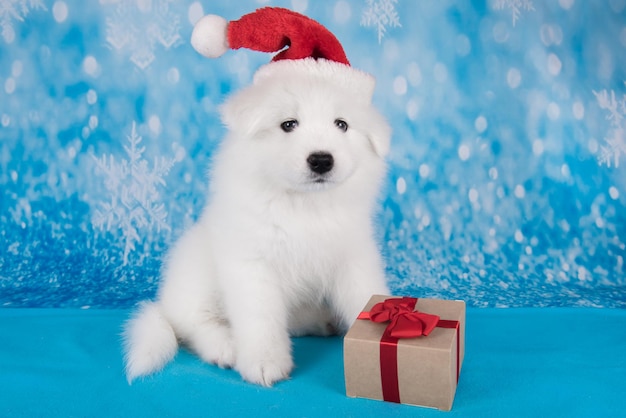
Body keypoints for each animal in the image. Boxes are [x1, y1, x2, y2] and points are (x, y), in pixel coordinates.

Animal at [122, 57, 390, 386]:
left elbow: (366, 294)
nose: (321, 160)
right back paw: (225, 346)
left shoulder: (353, 257)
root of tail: (165, 301)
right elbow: (260, 318)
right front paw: (264, 362)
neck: (303, 205)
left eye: (341, 124)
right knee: (193, 323)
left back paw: (318, 320)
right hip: (197, 277)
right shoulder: (252, 265)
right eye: (288, 124)